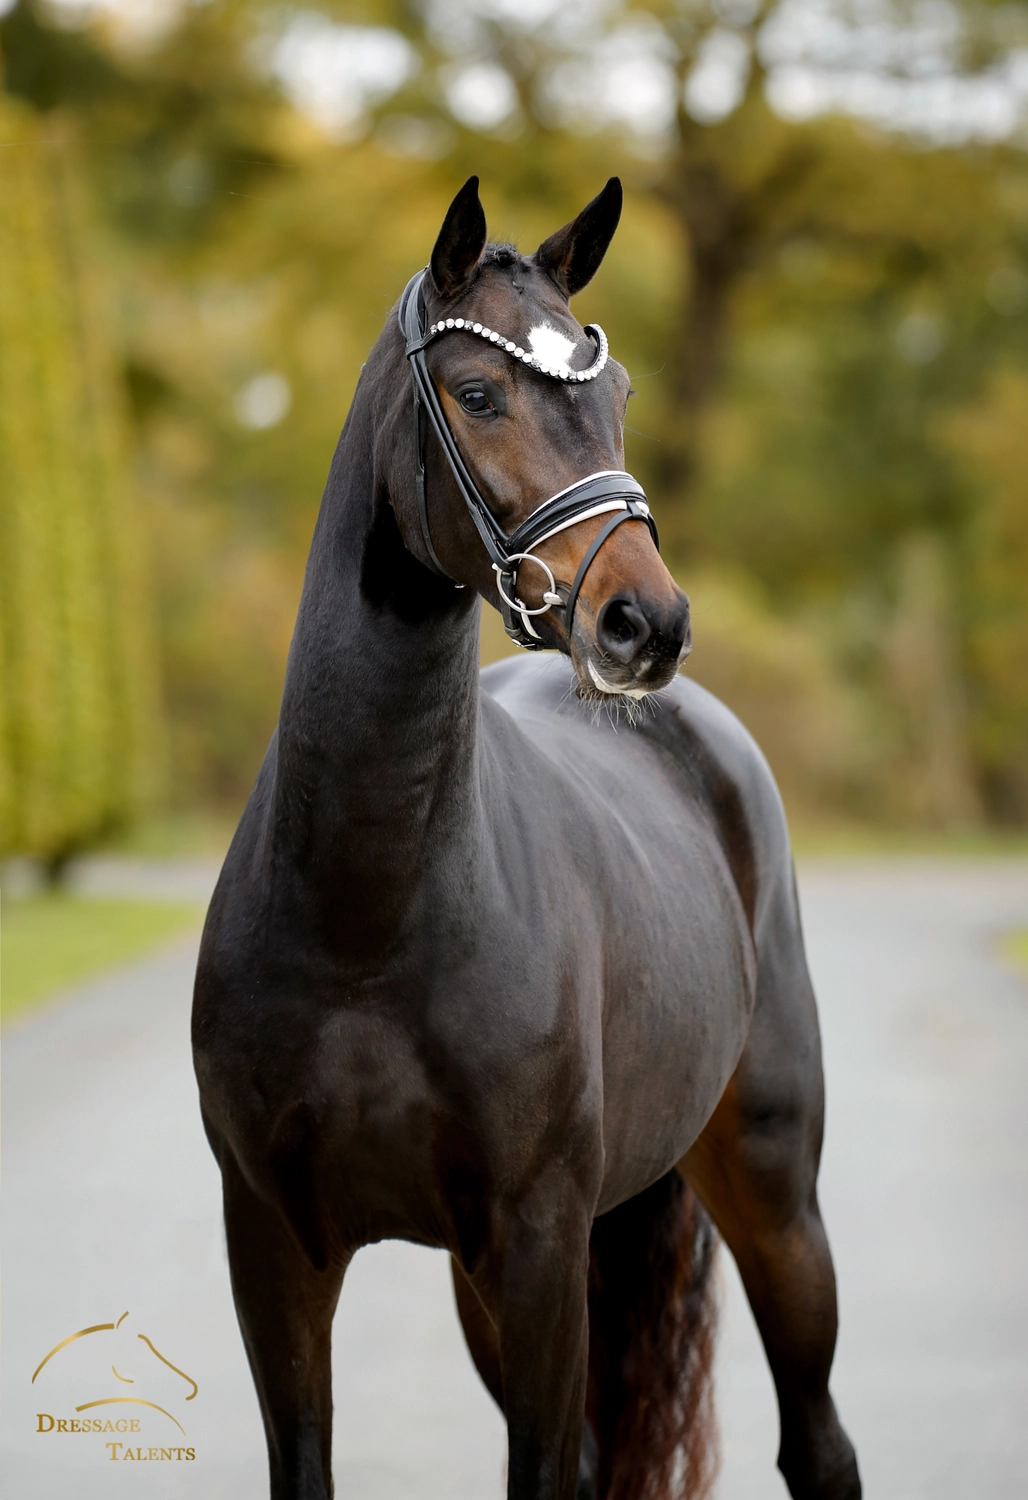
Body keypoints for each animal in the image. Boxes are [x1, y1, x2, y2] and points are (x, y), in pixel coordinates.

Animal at [192, 176, 861, 1500]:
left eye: (619, 395)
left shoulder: (538, 1243)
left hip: (771, 1196)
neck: (365, 920)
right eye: (479, 392)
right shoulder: (276, 1247)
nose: (644, 622)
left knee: (816, 1445)